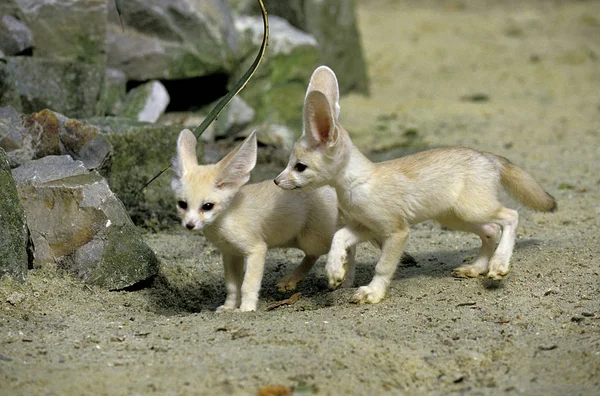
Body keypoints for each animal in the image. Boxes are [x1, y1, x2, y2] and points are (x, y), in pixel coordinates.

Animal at [170, 130, 356, 312]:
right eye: (182, 204)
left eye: (207, 206)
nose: (189, 225)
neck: (225, 221)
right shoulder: (230, 253)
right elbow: (232, 286)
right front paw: (229, 307)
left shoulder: (256, 249)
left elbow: (248, 284)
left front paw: (246, 309)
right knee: (315, 255)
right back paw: (292, 279)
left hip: (312, 240)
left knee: (346, 245)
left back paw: (344, 276)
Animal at [274, 66, 556, 304]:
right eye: (290, 163)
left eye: (300, 167)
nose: (276, 181)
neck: (359, 185)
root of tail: (486, 155)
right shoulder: (365, 227)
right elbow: (338, 238)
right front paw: (335, 271)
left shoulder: (396, 231)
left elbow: (383, 266)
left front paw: (373, 292)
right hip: (455, 217)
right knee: (489, 230)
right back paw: (477, 267)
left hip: (472, 210)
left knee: (510, 216)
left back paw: (498, 265)